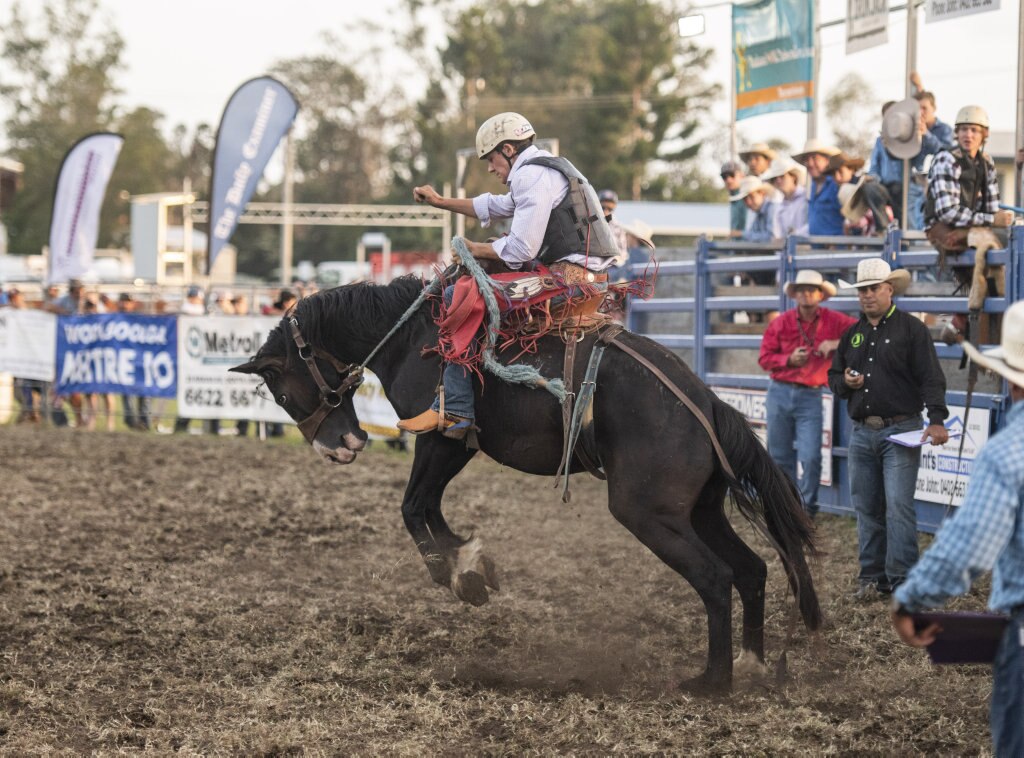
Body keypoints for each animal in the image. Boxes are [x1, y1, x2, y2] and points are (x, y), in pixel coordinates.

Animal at [234, 255, 823, 692]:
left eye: (280, 391)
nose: (341, 447)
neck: (413, 336)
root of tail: (707, 402)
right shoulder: (456, 445)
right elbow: (429, 507)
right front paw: (472, 562)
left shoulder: (443, 435)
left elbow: (414, 505)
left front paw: (459, 575)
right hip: (697, 510)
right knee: (751, 569)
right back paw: (750, 665)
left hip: (648, 512)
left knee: (716, 577)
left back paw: (712, 682)